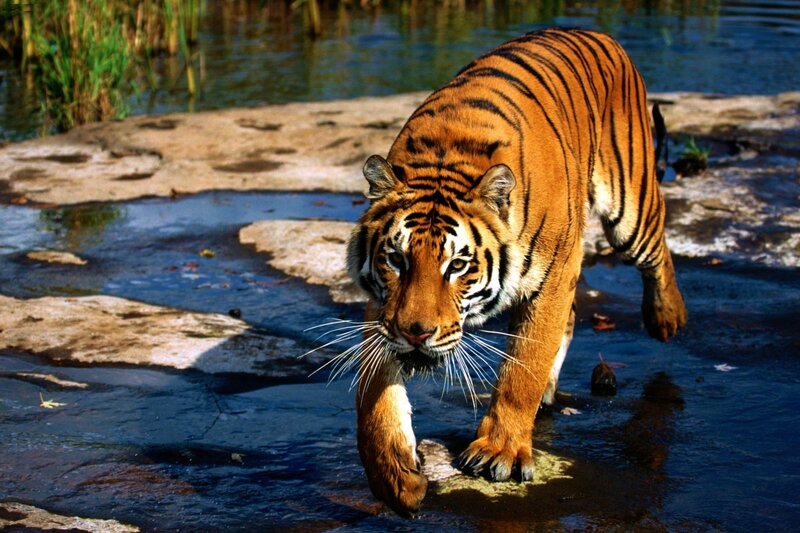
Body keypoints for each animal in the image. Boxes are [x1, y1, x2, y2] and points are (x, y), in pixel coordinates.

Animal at [345, 27, 687, 515]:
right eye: (396, 260)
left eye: (458, 265)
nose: (416, 333)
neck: (447, 158)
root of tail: (598, 32)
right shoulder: (384, 307)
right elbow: (372, 396)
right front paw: (394, 476)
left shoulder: (554, 274)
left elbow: (523, 367)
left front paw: (500, 451)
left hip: (629, 205)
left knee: (657, 248)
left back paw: (666, 317)